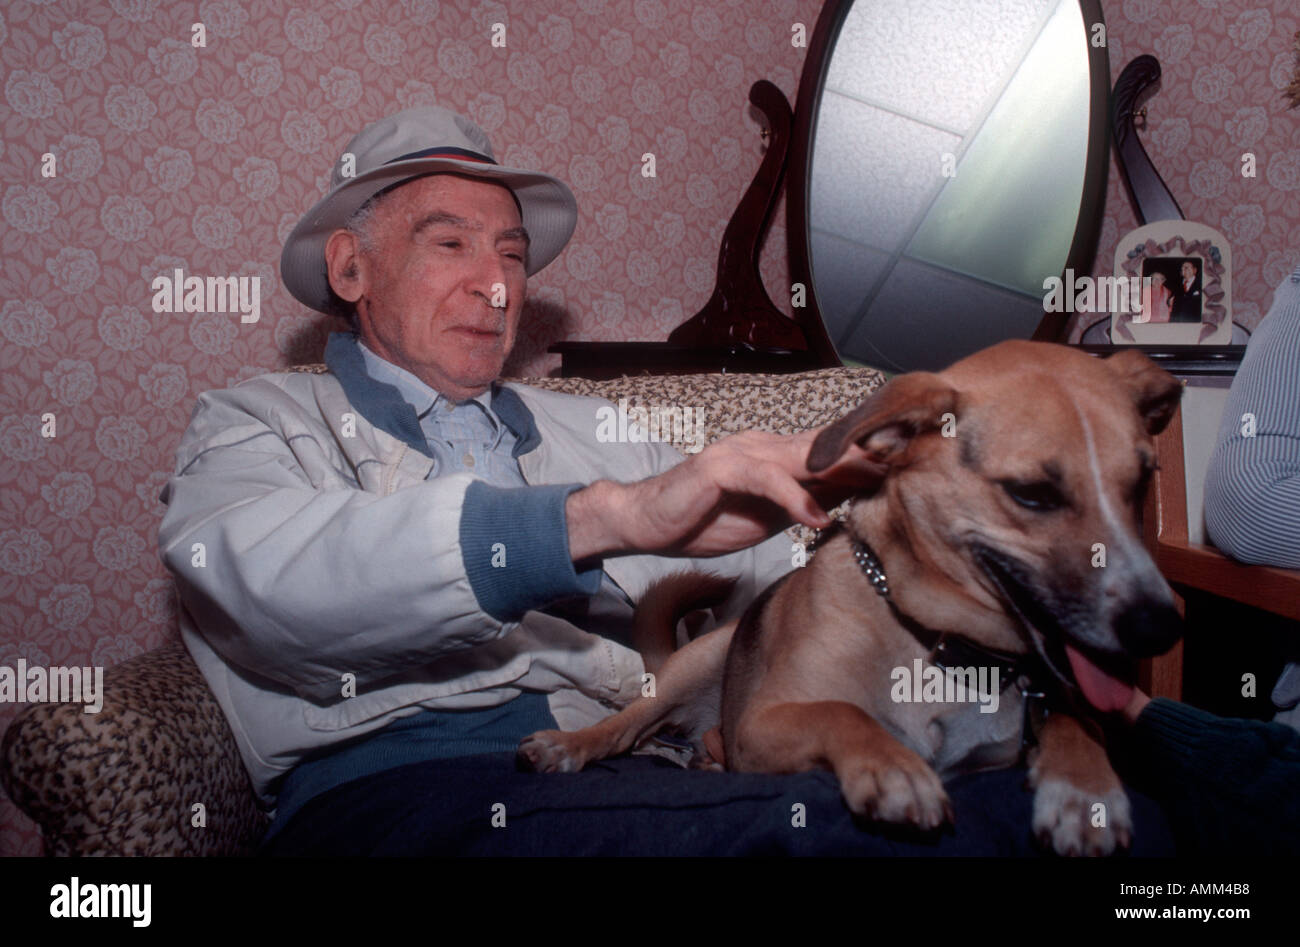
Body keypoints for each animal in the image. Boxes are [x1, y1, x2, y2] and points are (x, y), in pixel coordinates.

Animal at [512, 343, 1185, 858]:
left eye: (1141, 482)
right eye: (1032, 494)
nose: (1162, 626)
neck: (940, 647)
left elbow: (1077, 724)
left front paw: (1084, 792)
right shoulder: (764, 722)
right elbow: (844, 713)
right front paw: (893, 769)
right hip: (696, 664)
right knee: (623, 728)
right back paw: (572, 746)